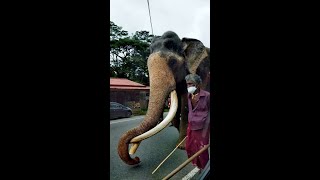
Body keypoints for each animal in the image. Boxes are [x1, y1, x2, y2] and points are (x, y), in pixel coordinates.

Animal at [117, 30, 210, 165]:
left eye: (173, 62)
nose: (136, 158)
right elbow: (177, 110)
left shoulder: (199, 72)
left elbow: (185, 104)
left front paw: (181, 146)